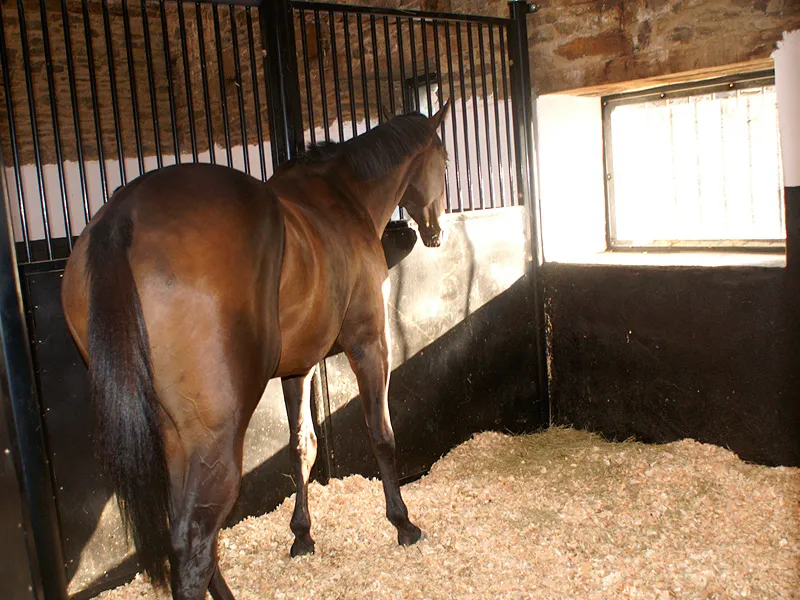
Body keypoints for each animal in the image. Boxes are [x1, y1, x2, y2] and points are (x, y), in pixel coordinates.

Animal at [60, 102, 450, 599]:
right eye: (444, 162)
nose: (436, 231)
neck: (342, 197)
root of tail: (120, 218)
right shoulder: (370, 344)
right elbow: (381, 434)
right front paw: (403, 525)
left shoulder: (299, 368)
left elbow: (301, 446)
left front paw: (302, 536)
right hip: (217, 437)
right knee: (194, 539)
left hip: (175, 437)